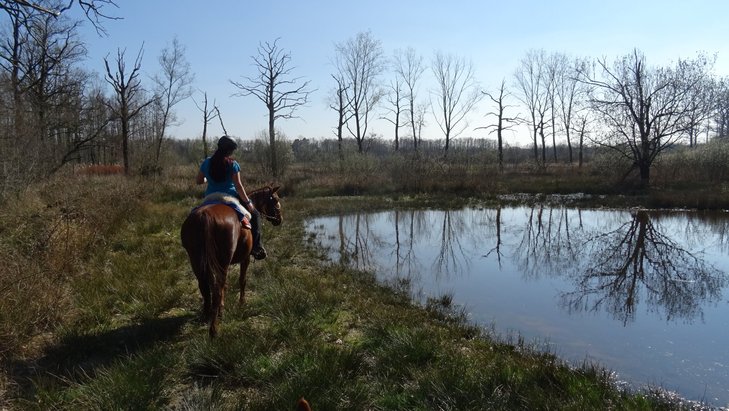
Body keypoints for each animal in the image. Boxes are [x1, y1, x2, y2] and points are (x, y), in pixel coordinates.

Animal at [181, 187, 282, 338]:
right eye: (275, 199)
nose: (279, 219)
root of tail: (205, 216)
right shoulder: (245, 258)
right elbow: (242, 280)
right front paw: (242, 303)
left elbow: (225, 285)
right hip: (222, 259)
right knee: (217, 287)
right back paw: (214, 329)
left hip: (197, 260)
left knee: (207, 286)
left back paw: (208, 316)